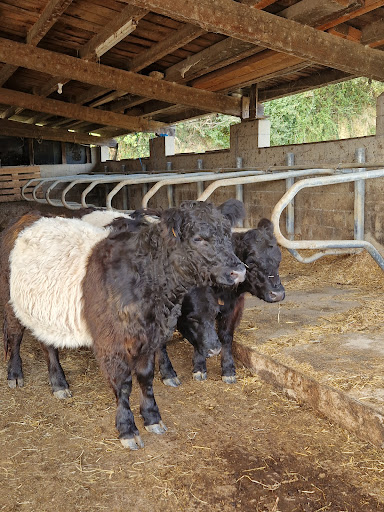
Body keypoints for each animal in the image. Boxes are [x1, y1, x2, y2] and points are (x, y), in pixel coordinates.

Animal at [1, 200, 244, 448]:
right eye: (198, 238)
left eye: (227, 234)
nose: (239, 270)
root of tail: (30, 216)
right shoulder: (112, 342)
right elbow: (123, 383)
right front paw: (128, 429)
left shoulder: (149, 337)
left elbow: (146, 378)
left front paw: (152, 417)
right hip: (11, 302)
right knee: (15, 336)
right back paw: (15, 374)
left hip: (44, 312)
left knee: (47, 344)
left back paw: (59, 383)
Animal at [158, 218, 284, 386]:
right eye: (251, 263)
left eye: (278, 260)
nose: (278, 294)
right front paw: (180, 371)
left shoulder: (232, 308)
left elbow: (224, 336)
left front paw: (227, 369)